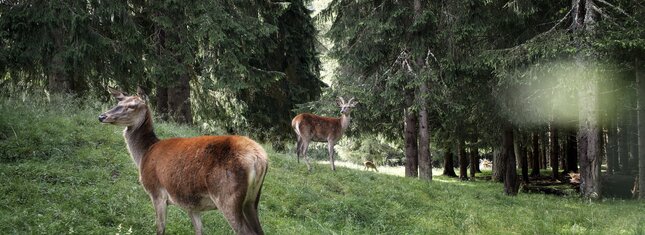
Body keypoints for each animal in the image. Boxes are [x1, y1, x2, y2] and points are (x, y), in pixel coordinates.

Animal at [97, 87, 266, 235]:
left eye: (132, 106)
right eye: (118, 103)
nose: (102, 116)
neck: (144, 154)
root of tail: (259, 159)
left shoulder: (156, 192)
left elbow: (160, 229)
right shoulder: (191, 204)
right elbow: (199, 231)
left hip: (227, 196)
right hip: (252, 201)